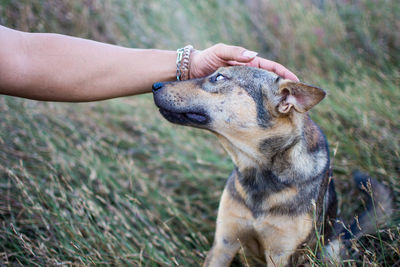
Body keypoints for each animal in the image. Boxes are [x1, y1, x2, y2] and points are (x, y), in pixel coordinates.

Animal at [152, 66, 392, 266]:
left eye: (219, 77)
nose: (155, 85)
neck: (258, 171)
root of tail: (344, 233)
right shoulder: (224, 244)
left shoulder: (280, 254)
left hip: (330, 250)